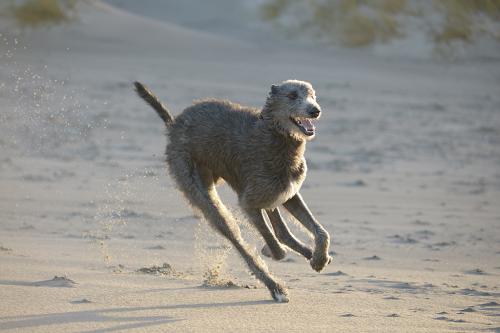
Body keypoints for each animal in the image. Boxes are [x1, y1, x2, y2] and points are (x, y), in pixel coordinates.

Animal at [135, 80, 332, 300]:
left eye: (313, 95)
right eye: (292, 95)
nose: (315, 110)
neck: (273, 135)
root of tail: (173, 124)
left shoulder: (288, 194)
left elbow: (320, 232)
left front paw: (319, 258)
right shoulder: (248, 203)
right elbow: (275, 247)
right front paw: (271, 251)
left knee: (281, 231)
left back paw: (308, 256)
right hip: (198, 188)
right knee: (236, 237)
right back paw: (275, 286)